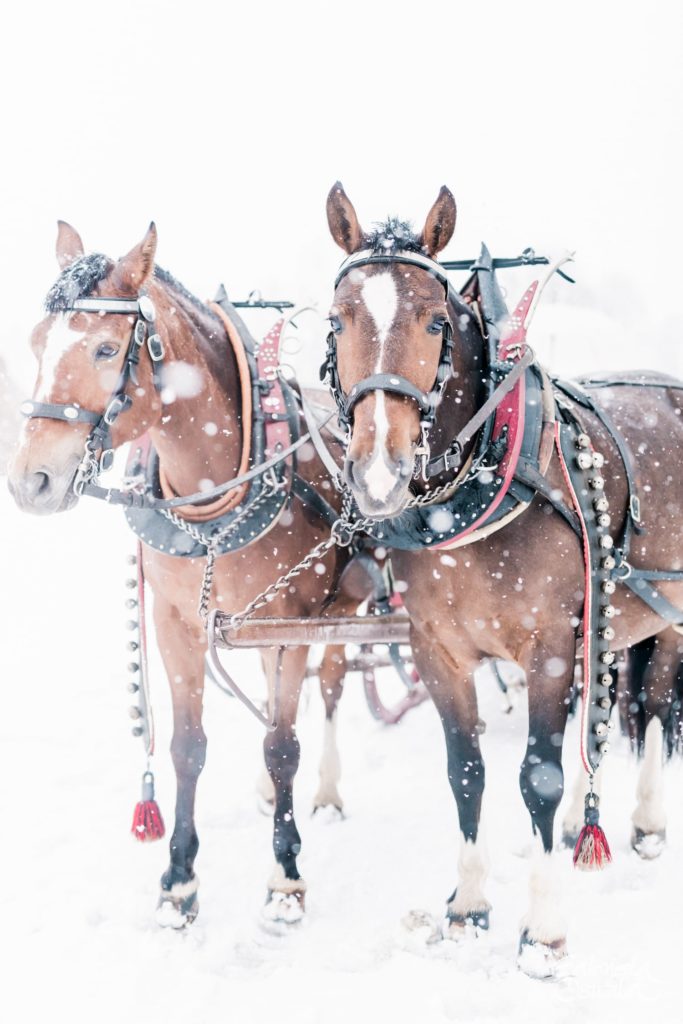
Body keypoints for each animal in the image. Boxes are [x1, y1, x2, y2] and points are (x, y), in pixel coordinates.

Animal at [7, 222, 362, 929]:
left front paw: (285, 876)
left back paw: (328, 790)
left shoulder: (290, 624)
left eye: (106, 348)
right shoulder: (176, 622)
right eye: (36, 343)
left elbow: (284, 744)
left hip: (340, 611)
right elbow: (187, 747)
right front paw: (179, 879)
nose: (31, 482)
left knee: (331, 688)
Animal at [323, 184, 683, 974]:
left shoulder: (545, 649)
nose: (377, 468)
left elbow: (537, 777)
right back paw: (589, 812)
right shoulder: (438, 650)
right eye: (337, 320)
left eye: (434, 320)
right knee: (603, 712)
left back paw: (644, 818)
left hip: (670, 609)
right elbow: (468, 772)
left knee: (655, 705)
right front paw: (469, 904)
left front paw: (542, 929)